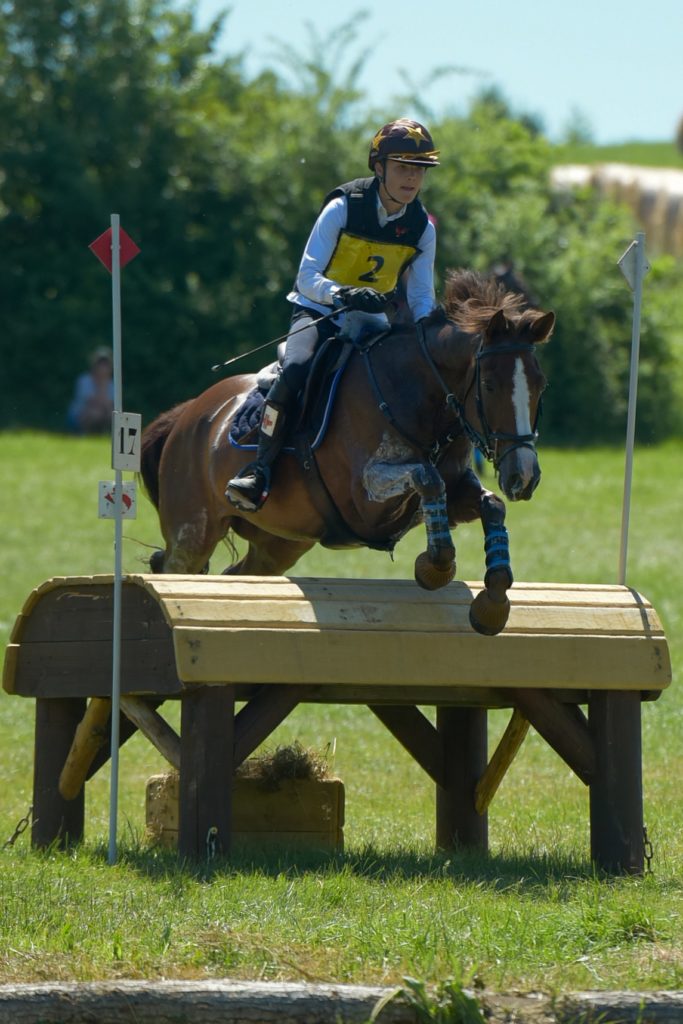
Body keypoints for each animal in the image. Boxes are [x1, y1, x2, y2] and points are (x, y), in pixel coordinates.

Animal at [141, 268, 552, 634]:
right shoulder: (365, 501)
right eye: (490, 384)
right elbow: (426, 477)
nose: (523, 477)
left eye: (540, 384)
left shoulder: (454, 491)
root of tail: (189, 413)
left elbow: (490, 505)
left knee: (238, 575)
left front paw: (492, 606)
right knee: (173, 566)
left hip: (281, 543)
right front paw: (435, 568)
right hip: (193, 531)